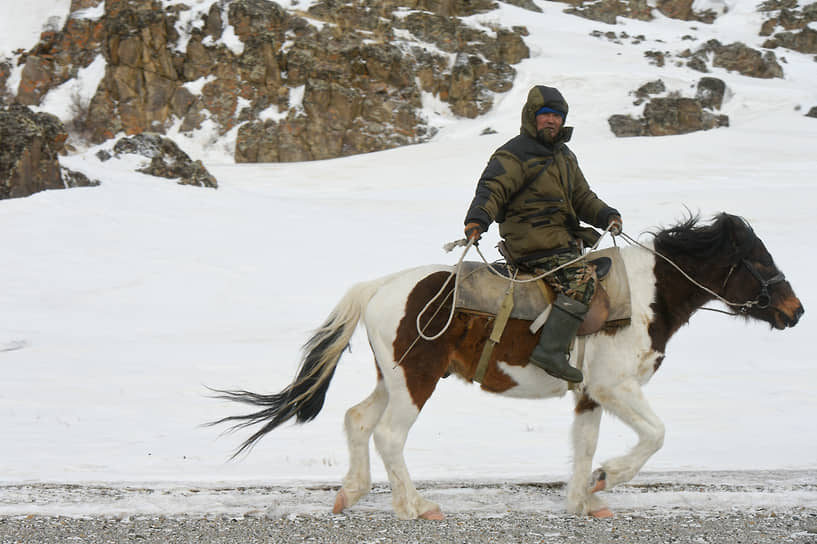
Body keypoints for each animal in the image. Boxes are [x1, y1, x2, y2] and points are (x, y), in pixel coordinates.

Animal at [210, 212, 804, 520]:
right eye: (759, 258)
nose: (795, 311)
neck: (645, 296)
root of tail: (381, 287)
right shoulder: (616, 387)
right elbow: (655, 436)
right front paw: (609, 478)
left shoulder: (590, 394)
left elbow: (583, 445)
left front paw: (583, 500)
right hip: (415, 381)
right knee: (388, 437)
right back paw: (414, 506)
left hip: (393, 378)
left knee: (357, 420)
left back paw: (352, 493)